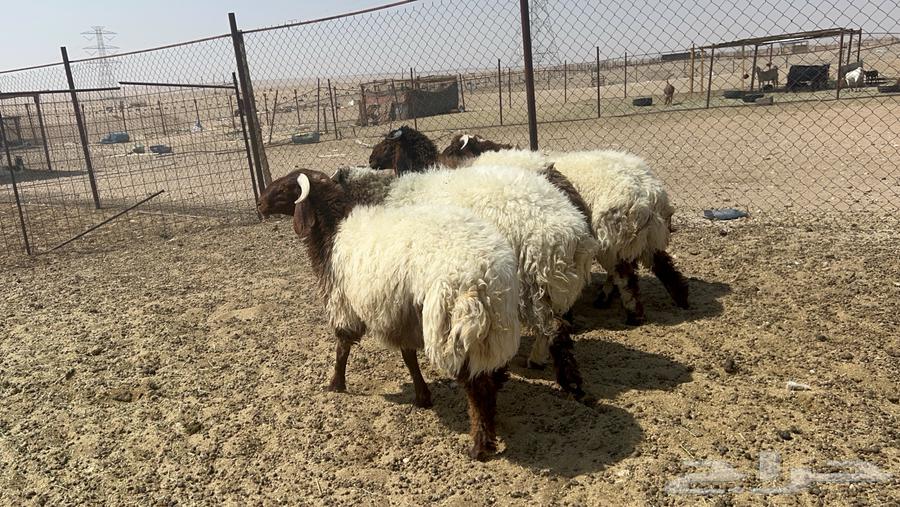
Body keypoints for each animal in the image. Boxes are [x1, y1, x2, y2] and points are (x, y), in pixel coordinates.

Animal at [259, 169, 521, 460]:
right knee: (490, 374)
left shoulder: (344, 303)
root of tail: (486, 276)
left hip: (452, 327)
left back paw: (480, 444)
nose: (259, 204)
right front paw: (422, 397)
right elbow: (409, 357)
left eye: (286, 188)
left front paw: (336, 384)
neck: (333, 231)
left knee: (478, 387)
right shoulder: (402, 315)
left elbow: (342, 347)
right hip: (491, 329)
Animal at [443, 136, 691, 325]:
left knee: (625, 277)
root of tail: (650, 196)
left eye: (454, 149)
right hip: (641, 237)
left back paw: (629, 313)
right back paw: (680, 299)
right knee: (661, 264)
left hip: (614, 237)